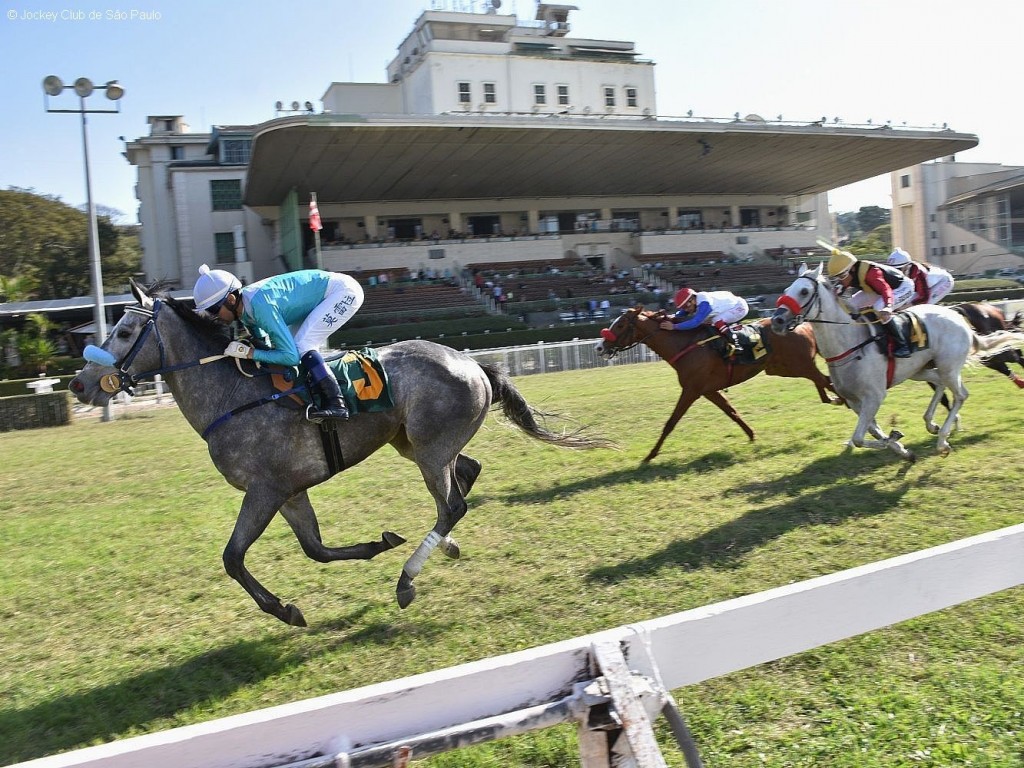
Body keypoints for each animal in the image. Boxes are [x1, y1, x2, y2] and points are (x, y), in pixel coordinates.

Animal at [74, 280, 614, 626]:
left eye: (124, 332)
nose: (80, 384)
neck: (232, 395)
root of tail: (474, 363)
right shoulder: (289, 492)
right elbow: (315, 549)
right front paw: (378, 544)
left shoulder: (265, 490)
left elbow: (232, 557)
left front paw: (284, 610)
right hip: (415, 444)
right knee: (465, 478)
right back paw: (445, 547)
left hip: (429, 449)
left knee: (452, 504)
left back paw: (407, 580)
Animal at [593, 307, 839, 462]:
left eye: (620, 325)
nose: (600, 347)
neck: (684, 344)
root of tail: (802, 324)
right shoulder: (708, 390)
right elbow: (732, 412)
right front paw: (751, 435)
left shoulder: (691, 390)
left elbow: (670, 423)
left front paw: (650, 455)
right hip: (783, 368)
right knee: (823, 381)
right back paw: (833, 399)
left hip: (798, 365)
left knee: (825, 381)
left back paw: (840, 401)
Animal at [770, 264, 1024, 460]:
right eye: (786, 290)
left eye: (804, 291)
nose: (777, 320)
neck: (849, 344)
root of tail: (958, 317)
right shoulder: (853, 400)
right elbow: (871, 432)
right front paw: (901, 448)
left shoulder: (874, 396)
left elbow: (860, 437)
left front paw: (894, 439)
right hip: (921, 369)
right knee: (940, 384)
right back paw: (931, 423)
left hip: (949, 365)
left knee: (961, 394)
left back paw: (942, 440)